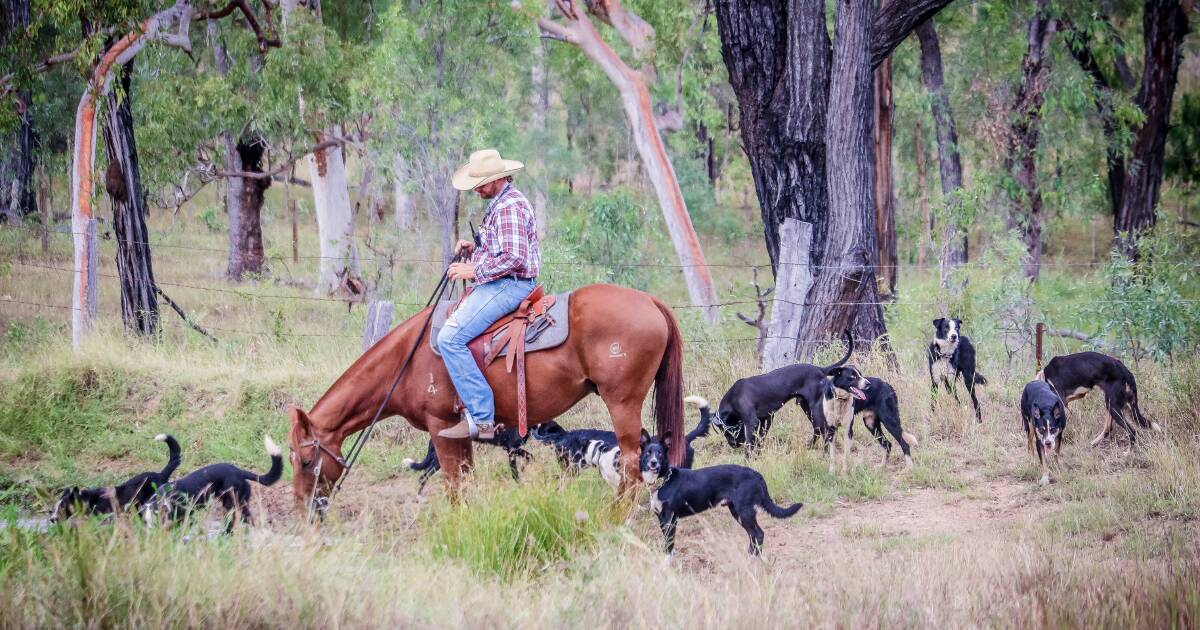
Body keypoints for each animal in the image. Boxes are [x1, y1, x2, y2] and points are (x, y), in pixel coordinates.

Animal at [141, 432, 282, 530]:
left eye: (155, 520)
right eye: (145, 522)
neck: (165, 498)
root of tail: (239, 471)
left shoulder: (187, 516)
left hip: (232, 504)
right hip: (237, 504)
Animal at [288, 282, 686, 513]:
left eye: (306, 461)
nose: (304, 507)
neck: (406, 359)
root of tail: (651, 301)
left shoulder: (440, 423)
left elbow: (452, 482)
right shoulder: (458, 431)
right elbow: (464, 477)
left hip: (622, 402)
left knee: (632, 464)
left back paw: (614, 516)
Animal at [643, 427, 801, 554]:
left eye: (660, 453)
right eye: (648, 453)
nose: (653, 463)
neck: (663, 481)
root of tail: (756, 474)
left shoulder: (670, 519)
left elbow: (669, 546)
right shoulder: (662, 519)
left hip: (744, 512)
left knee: (759, 534)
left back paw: (754, 558)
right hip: (737, 511)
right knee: (754, 534)